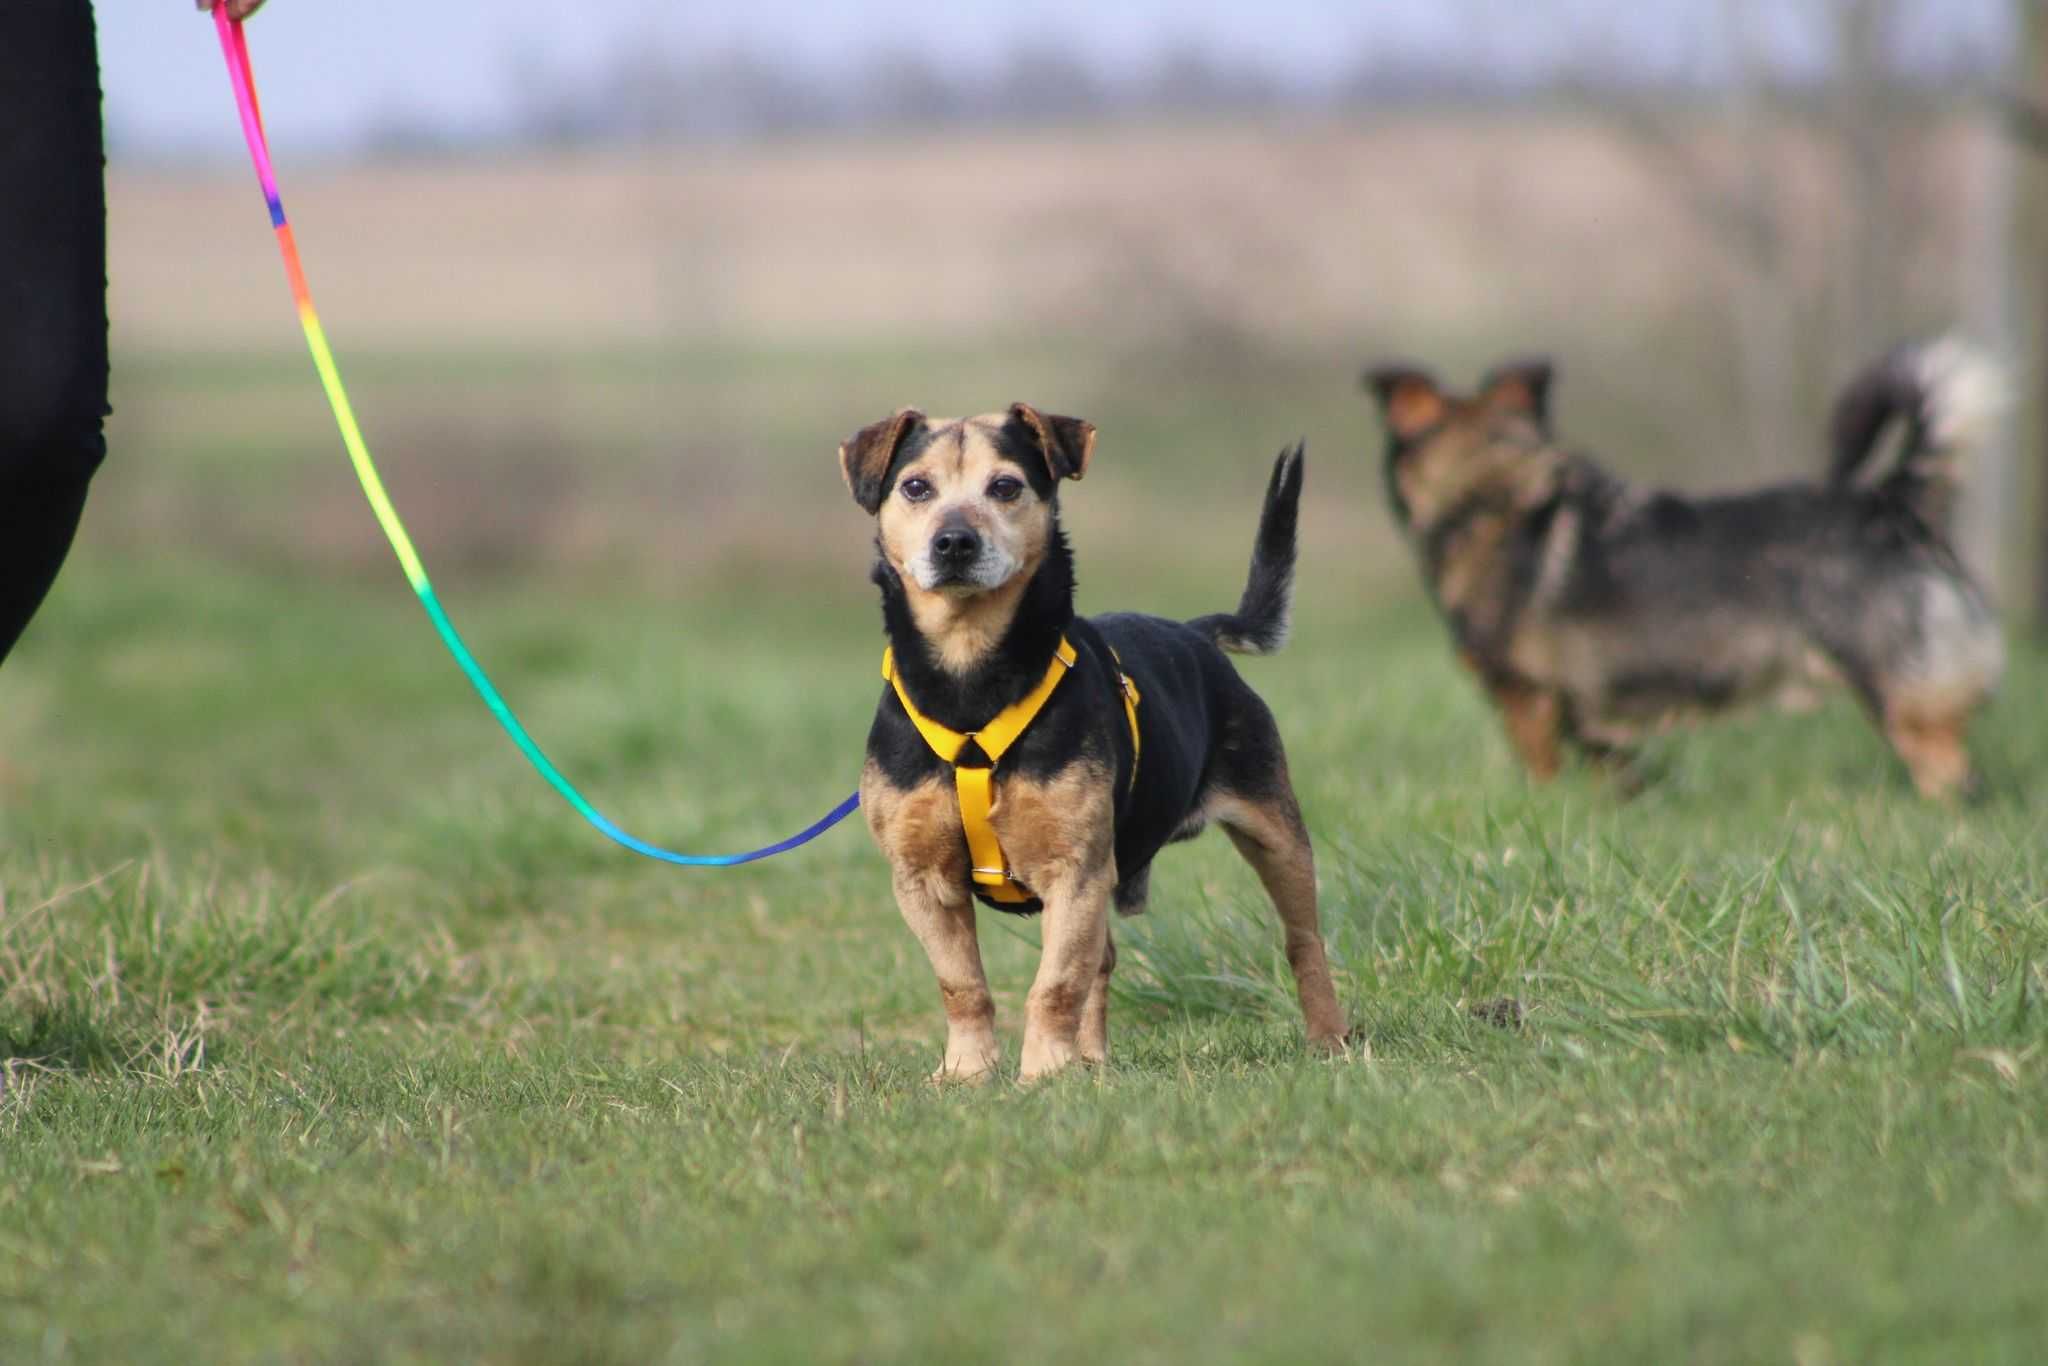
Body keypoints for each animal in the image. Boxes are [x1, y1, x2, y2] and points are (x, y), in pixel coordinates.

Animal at [835, 405, 1343, 1081]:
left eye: (1005, 486)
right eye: (916, 487)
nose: (955, 543)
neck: (970, 683)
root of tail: (1197, 633)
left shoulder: (1074, 869)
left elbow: (1056, 983)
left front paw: (1044, 1073)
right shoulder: (921, 878)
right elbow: (962, 984)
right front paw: (970, 1071)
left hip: (1275, 831)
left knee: (1303, 940)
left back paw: (1329, 1038)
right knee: (1102, 962)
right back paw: (1093, 1059)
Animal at [1359, 335, 1998, 794]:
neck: (1491, 494)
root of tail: (1891, 502)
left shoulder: (1526, 698)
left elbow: (1543, 768)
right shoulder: (1585, 717)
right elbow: (1614, 767)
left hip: (1898, 693)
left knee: (1950, 771)